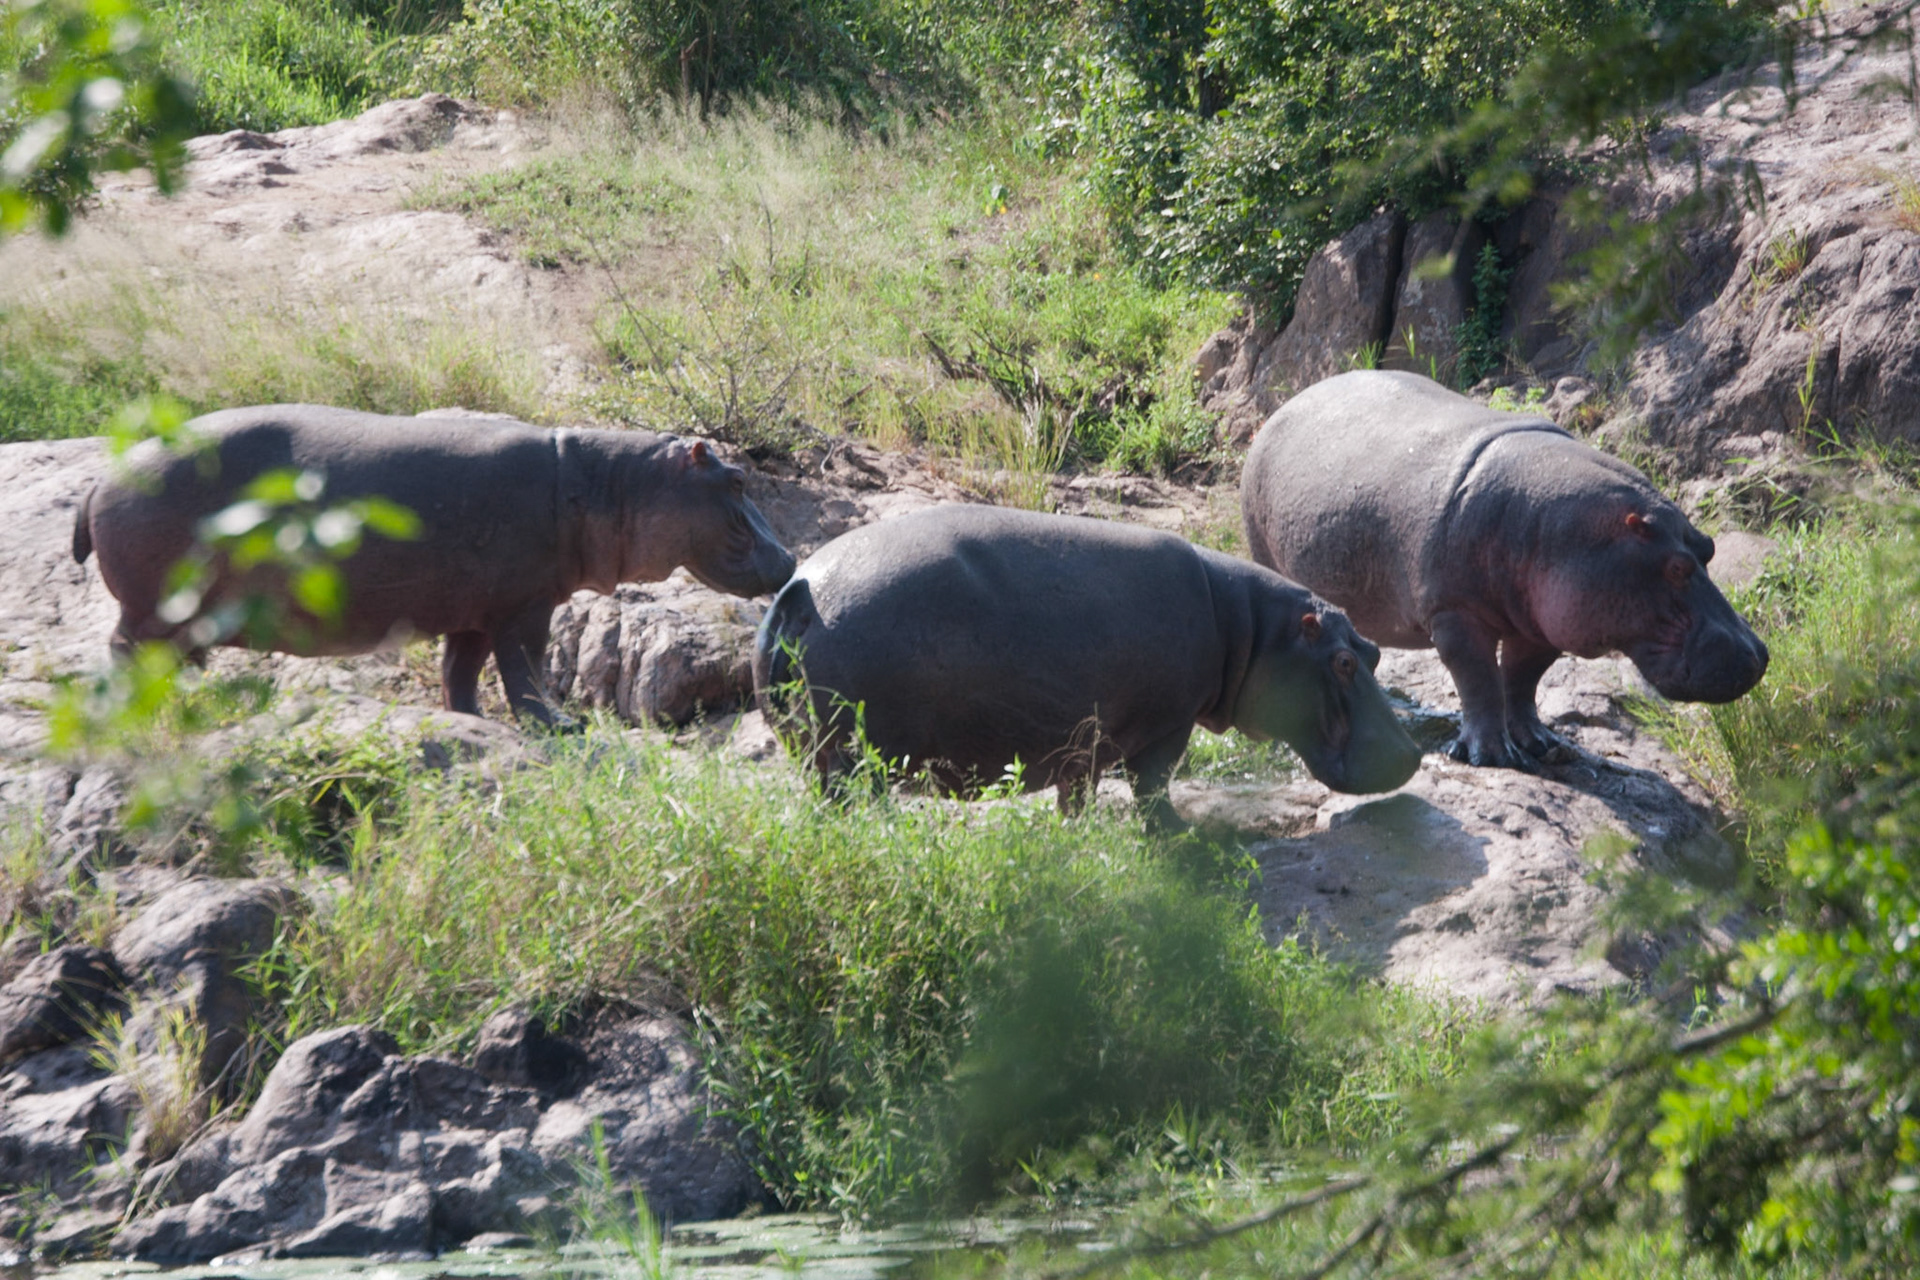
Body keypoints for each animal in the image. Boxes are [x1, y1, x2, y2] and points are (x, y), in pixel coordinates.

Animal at [74, 404, 796, 725]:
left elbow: (461, 673)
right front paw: (559, 725)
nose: (791, 556)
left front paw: (470, 723)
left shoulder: (475, 613)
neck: (609, 483)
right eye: (735, 480)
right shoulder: (524, 609)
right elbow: (524, 672)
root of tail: (102, 479)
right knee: (125, 651)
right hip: (151, 610)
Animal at [752, 504, 1422, 827]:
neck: (1251, 627)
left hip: (815, 753)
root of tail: (799, 592)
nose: (1414, 753)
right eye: (1342, 661)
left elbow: (1078, 793)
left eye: (1373, 651)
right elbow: (1152, 785)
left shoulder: (1083, 740)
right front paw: (1181, 833)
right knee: (856, 801)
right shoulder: (1166, 725)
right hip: (854, 755)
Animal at [1241, 371, 1769, 769]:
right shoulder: (1453, 614)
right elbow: (1478, 680)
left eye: (1709, 548)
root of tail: (1289, 402)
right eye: (1676, 568)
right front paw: (1490, 756)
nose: (1758, 655)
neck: (1570, 535)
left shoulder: (1542, 624)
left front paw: (1545, 745)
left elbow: (1521, 680)